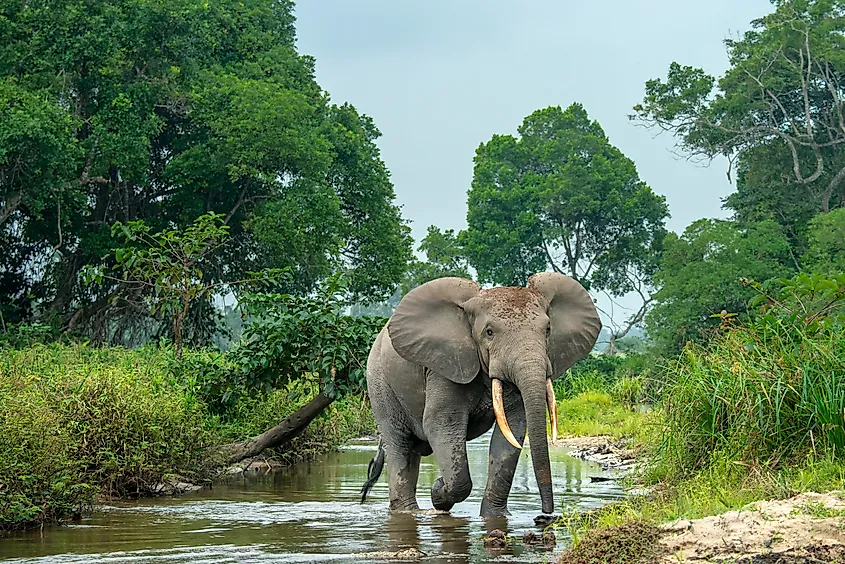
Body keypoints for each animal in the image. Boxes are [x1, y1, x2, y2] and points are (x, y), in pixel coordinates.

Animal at [359, 272, 601, 517]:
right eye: (489, 333)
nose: (546, 512)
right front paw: (438, 493)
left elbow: (512, 431)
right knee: (399, 444)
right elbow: (440, 423)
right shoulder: (444, 365)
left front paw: (496, 517)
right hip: (379, 384)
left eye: (548, 330)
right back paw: (408, 513)